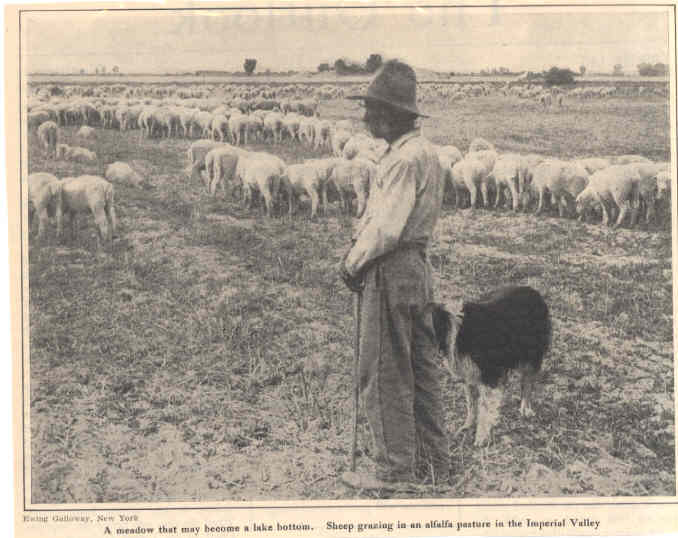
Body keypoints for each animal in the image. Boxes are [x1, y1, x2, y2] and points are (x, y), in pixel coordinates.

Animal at [430, 284, 552, 444]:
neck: (454, 330)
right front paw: (468, 426)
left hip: (531, 356)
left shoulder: (489, 375)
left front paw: (481, 438)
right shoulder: (469, 375)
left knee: (527, 384)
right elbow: (471, 404)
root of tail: (533, 291)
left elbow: (484, 408)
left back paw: (525, 409)